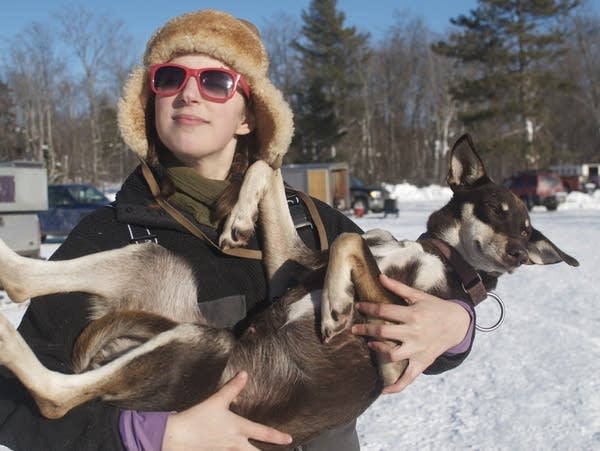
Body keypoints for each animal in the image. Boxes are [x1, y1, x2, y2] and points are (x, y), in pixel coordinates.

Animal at [0, 134, 580, 448]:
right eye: (498, 209)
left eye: (529, 229)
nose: (517, 254)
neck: (441, 259)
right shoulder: (293, 263)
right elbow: (270, 169)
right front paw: (238, 220)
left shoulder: (392, 334)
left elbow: (348, 240)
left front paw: (338, 305)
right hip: (158, 268)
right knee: (27, 284)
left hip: (199, 345)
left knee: (53, 399)